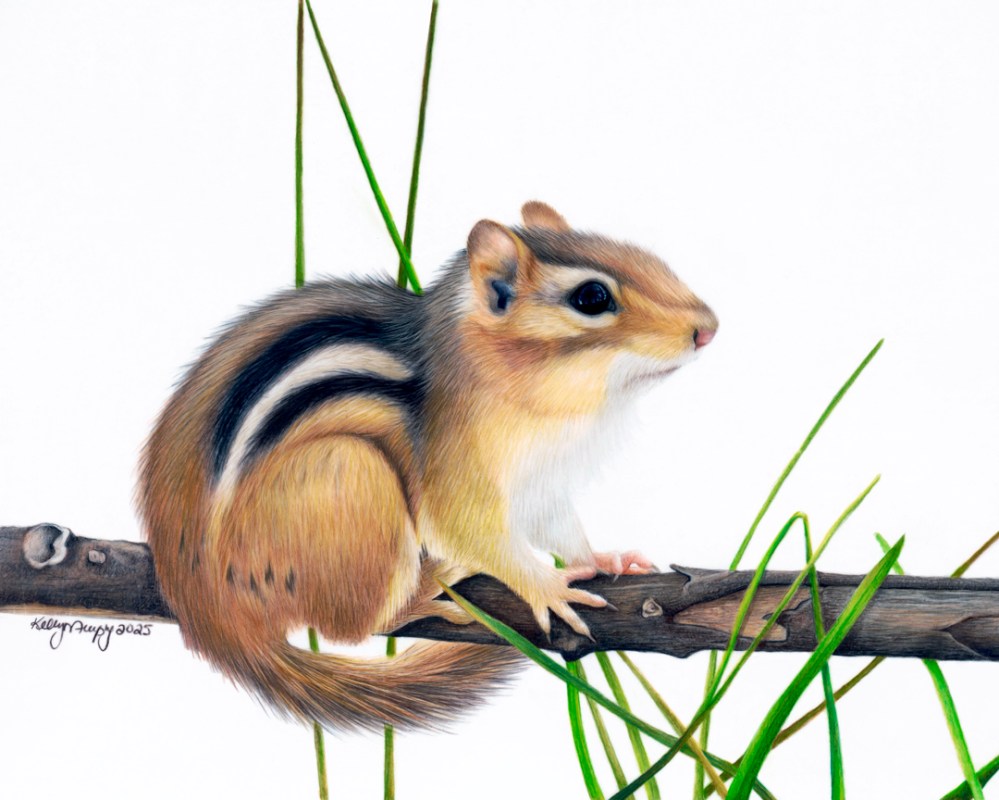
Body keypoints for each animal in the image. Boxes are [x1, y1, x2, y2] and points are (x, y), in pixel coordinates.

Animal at [138, 201, 717, 732]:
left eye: (649, 258)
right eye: (592, 297)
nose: (708, 329)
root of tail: (202, 601)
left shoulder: (541, 480)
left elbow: (556, 524)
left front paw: (604, 558)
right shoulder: (456, 464)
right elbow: (468, 527)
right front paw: (546, 587)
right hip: (350, 475)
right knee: (357, 627)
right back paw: (427, 591)